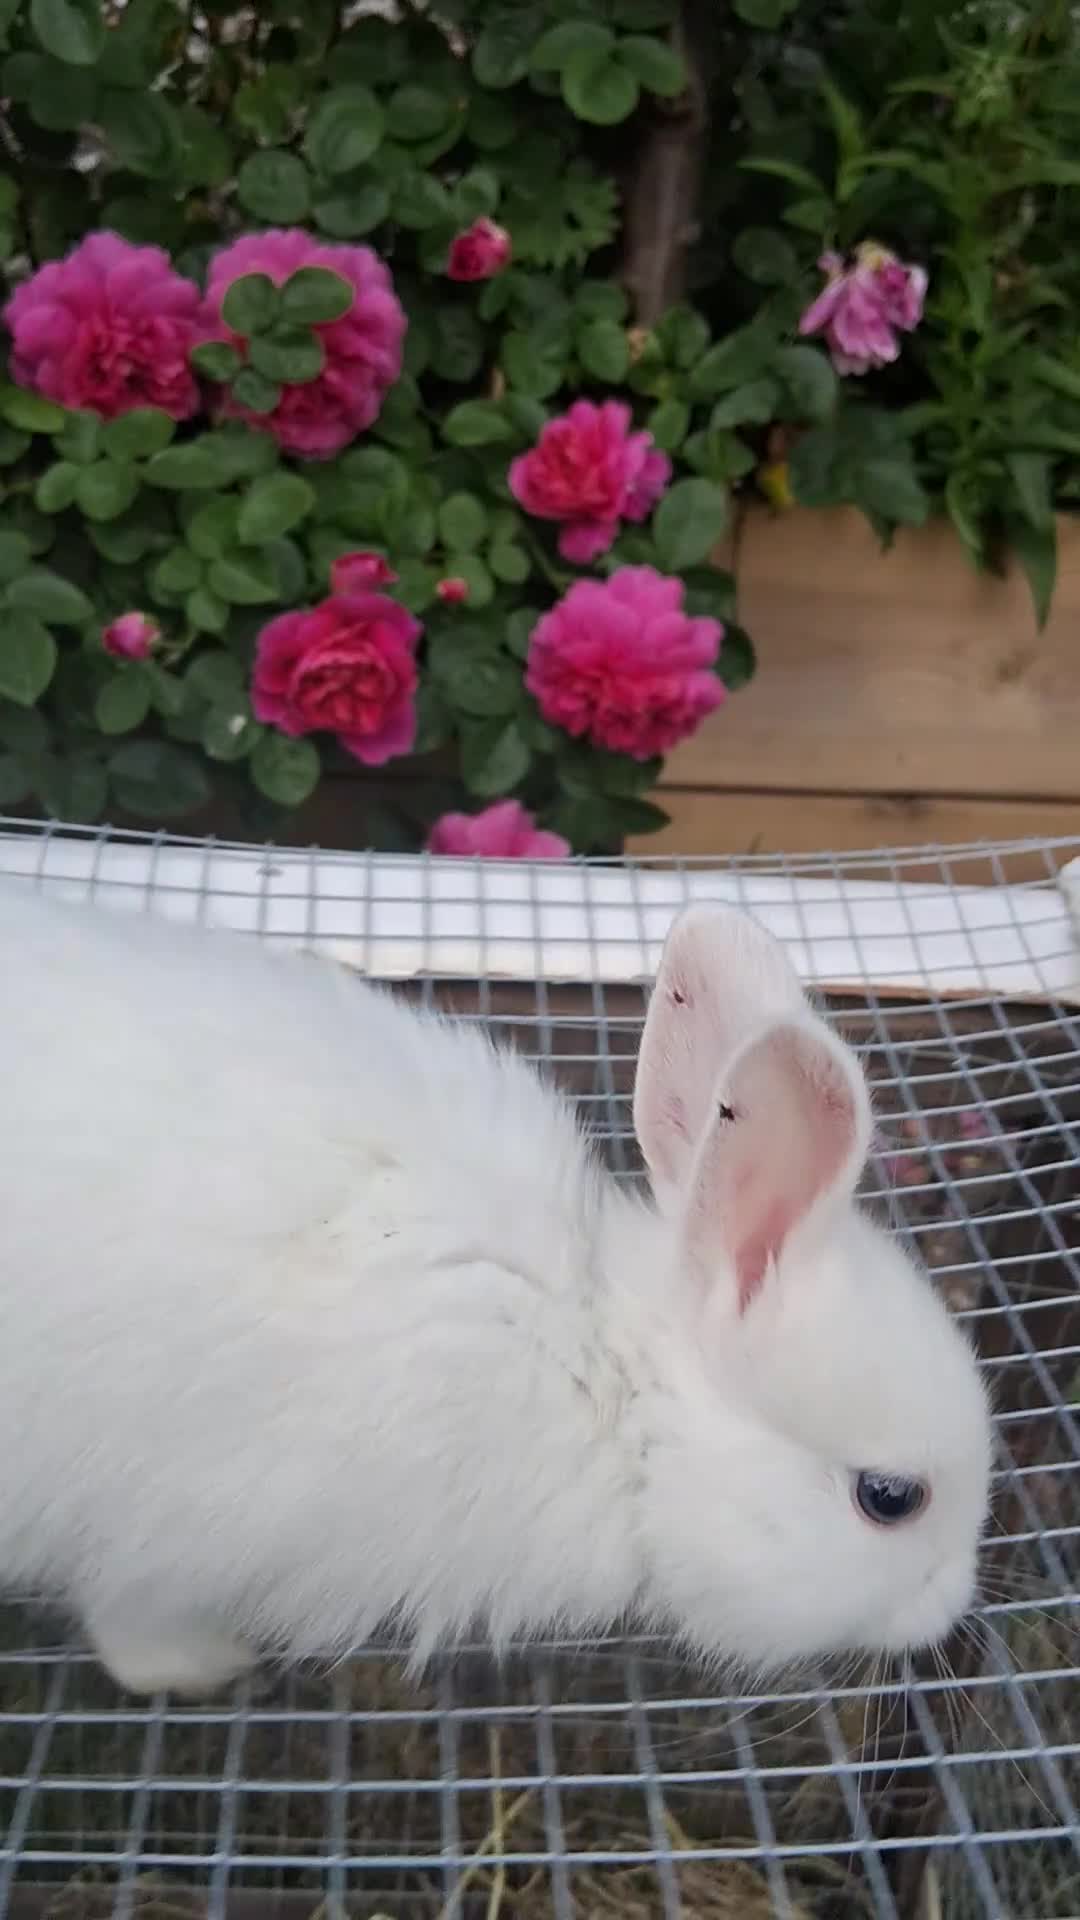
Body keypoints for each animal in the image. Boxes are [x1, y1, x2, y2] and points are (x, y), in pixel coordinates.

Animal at [0, 879, 991, 1696]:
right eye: (890, 1498)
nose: (950, 1609)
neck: (603, 1373)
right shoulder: (173, 1528)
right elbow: (134, 1620)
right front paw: (200, 1668)